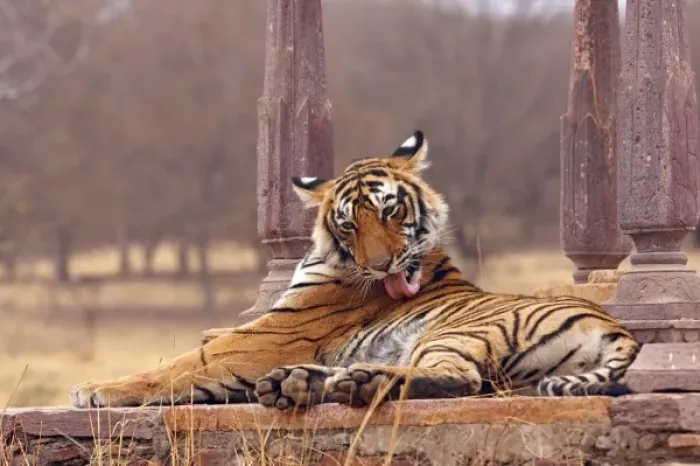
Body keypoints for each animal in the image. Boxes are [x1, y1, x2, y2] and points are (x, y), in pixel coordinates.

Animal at [70, 130, 640, 409]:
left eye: (391, 210)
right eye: (348, 222)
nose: (382, 264)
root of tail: (617, 328)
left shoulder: (267, 337)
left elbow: (181, 363)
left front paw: (94, 389)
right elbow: (191, 370)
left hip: (457, 333)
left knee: (459, 379)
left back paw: (356, 381)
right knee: (475, 385)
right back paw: (300, 385)